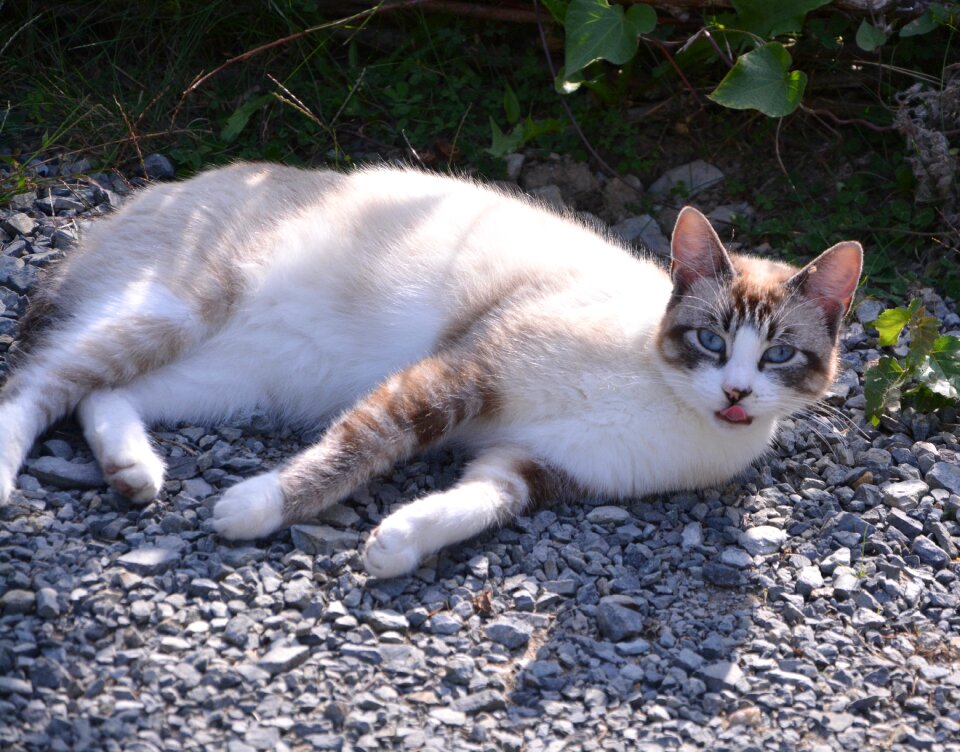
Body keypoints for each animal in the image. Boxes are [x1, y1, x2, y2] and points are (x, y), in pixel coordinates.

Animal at [0, 163, 864, 576]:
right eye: (711, 341)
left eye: (779, 354)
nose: (737, 392)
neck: (665, 400)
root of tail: (152, 193)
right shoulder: (463, 375)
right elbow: (363, 445)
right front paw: (256, 508)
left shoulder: (537, 468)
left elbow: (479, 504)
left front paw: (397, 545)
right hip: (181, 310)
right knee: (38, 384)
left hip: (234, 384)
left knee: (104, 393)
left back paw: (133, 470)